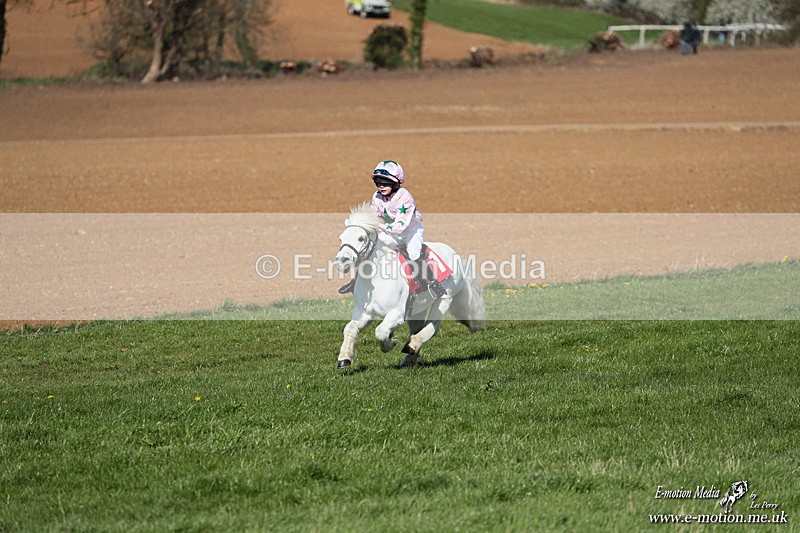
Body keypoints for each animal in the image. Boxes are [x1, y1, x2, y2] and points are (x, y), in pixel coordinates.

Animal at [334, 203, 485, 368]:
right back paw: (410, 358)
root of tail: (456, 255)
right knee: (417, 328)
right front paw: (344, 358)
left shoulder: (397, 313)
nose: (342, 261)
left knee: (433, 325)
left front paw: (391, 342)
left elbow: (380, 332)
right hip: (418, 309)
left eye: (361, 238)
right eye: (341, 238)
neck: (376, 277)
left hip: (444, 299)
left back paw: (412, 345)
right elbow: (350, 328)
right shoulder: (363, 312)